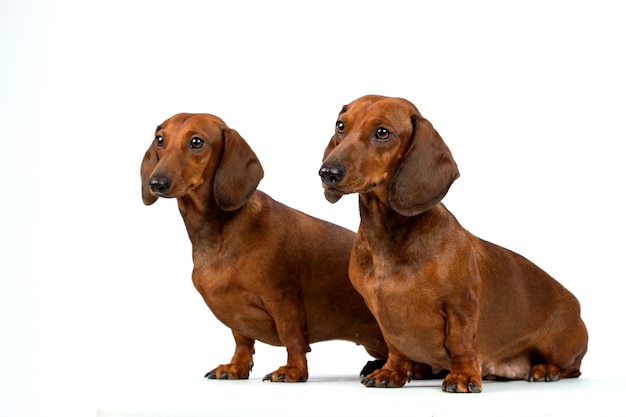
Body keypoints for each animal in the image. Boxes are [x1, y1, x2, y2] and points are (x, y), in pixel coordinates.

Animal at [141, 112, 386, 382]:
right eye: (160, 140)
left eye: (196, 142)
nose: (156, 182)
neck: (218, 234)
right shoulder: (236, 313)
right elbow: (242, 340)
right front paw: (236, 367)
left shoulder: (282, 299)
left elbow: (292, 337)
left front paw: (294, 370)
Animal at [316, 96, 584, 392]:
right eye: (341, 126)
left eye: (382, 132)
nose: (327, 173)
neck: (387, 237)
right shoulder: (382, 316)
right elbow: (395, 345)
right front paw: (392, 371)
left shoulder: (460, 306)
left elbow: (460, 343)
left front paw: (463, 376)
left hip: (558, 346)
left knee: (573, 368)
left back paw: (545, 369)